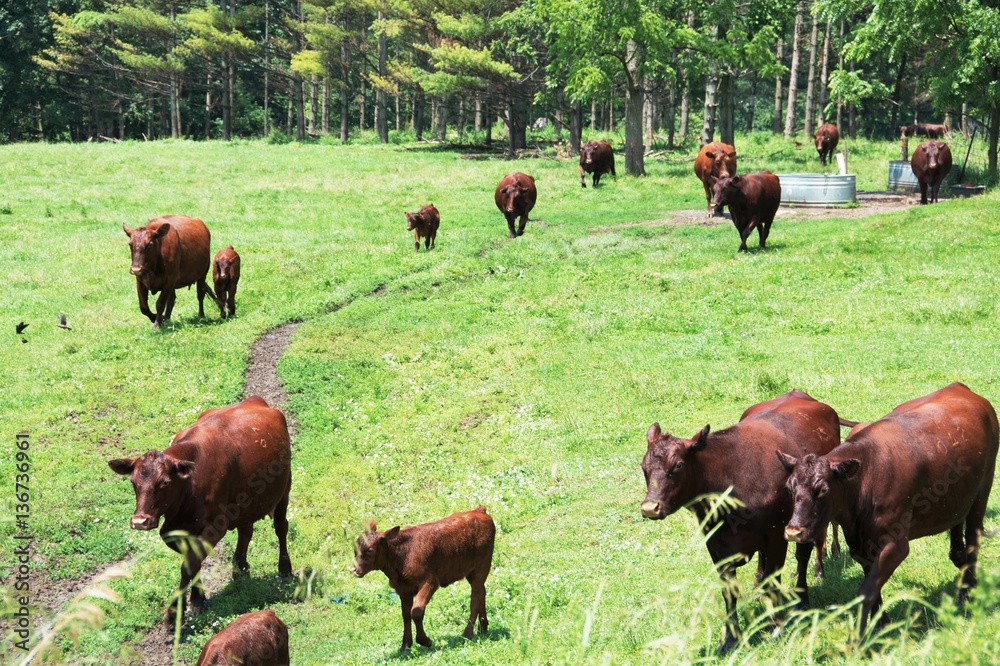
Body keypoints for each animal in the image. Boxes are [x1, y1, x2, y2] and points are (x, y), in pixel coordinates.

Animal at [108, 396, 292, 625]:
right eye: (133, 482)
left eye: (165, 483)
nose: (140, 521)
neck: (189, 488)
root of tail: (256, 401)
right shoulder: (175, 530)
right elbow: (192, 562)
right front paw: (198, 598)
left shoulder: (216, 526)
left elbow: (190, 563)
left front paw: (175, 613)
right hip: (246, 502)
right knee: (246, 531)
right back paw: (240, 567)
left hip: (285, 488)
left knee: (281, 527)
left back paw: (284, 569)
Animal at [351, 506, 495, 651]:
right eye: (355, 548)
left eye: (370, 550)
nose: (353, 569)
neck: (402, 556)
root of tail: (479, 510)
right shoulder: (403, 589)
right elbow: (405, 614)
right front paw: (406, 645)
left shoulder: (430, 581)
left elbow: (416, 611)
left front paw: (424, 641)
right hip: (471, 571)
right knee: (481, 592)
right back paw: (483, 628)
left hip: (482, 565)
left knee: (475, 597)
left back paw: (467, 634)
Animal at [641, 390, 854, 652]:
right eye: (644, 467)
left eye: (678, 465)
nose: (650, 508)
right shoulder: (716, 544)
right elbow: (729, 592)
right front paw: (730, 638)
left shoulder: (776, 536)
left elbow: (774, 580)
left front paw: (775, 627)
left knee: (802, 556)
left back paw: (801, 596)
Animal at [779, 383, 999, 638]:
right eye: (789, 486)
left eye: (823, 489)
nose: (794, 532)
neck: (866, 479)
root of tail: (961, 388)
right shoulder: (861, 545)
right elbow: (872, 586)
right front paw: (881, 622)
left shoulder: (896, 545)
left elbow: (865, 591)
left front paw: (858, 638)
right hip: (958, 498)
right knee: (957, 541)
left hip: (983, 489)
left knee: (973, 538)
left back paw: (967, 593)